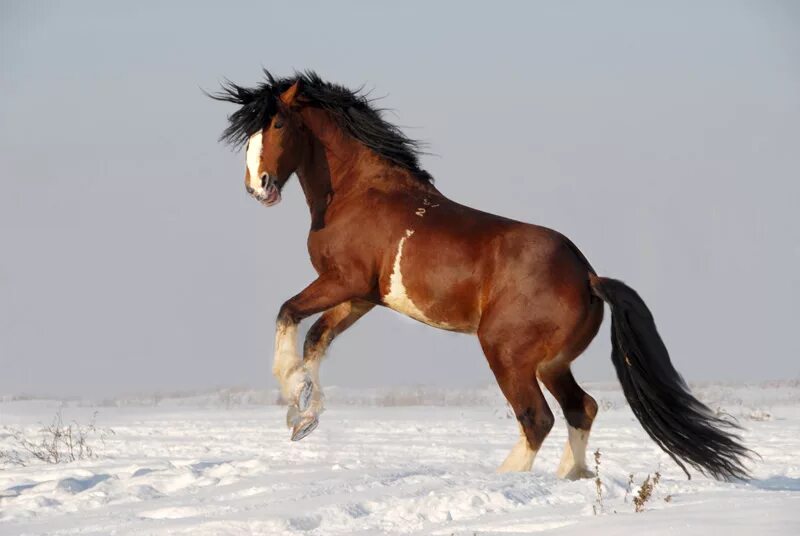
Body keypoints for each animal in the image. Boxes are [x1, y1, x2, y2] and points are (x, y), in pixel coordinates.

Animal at [209, 69, 752, 480]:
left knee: (538, 418)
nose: (258, 186)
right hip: (551, 363)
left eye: (278, 124)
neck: (359, 193)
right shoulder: (362, 296)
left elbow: (288, 314)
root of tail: (589, 277)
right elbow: (316, 339)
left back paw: (508, 478)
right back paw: (571, 476)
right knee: (582, 407)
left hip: (505, 352)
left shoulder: (344, 282)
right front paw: (303, 415)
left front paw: (291, 395)